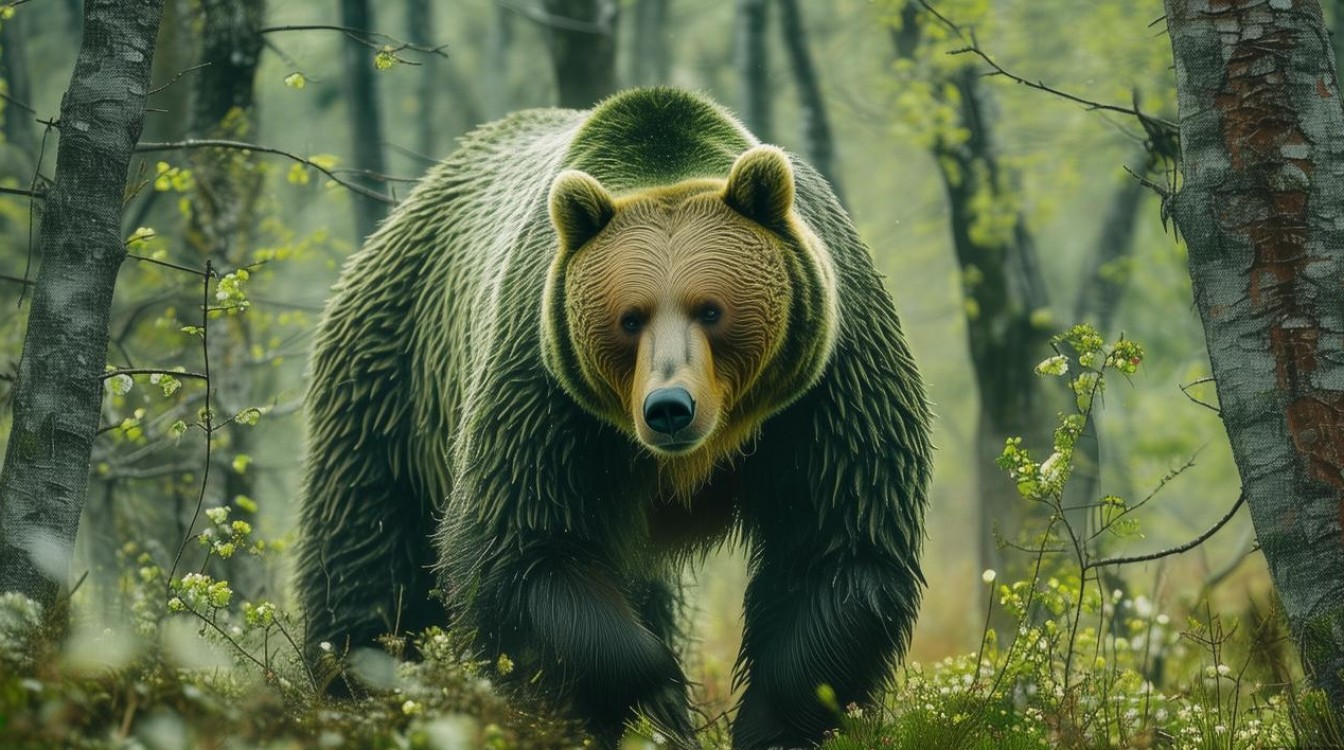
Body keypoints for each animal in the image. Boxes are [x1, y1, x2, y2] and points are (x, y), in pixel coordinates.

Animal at [295, 87, 932, 749]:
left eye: (711, 309)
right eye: (630, 317)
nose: (669, 408)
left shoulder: (827, 376)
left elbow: (838, 544)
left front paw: (770, 725)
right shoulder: (543, 379)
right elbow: (528, 545)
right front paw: (658, 693)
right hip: (394, 379)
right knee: (368, 554)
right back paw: (355, 692)